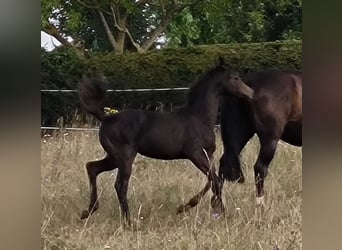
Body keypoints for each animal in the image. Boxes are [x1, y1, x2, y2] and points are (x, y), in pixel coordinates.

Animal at [78, 58, 254, 225]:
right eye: (236, 77)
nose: (250, 93)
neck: (199, 117)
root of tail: (106, 119)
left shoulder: (208, 155)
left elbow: (213, 180)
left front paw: (190, 206)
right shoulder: (195, 154)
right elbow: (215, 180)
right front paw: (220, 211)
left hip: (113, 157)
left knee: (92, 167)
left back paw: (88, 211)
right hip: (124, 156)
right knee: (120, 185)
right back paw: (128, 222)